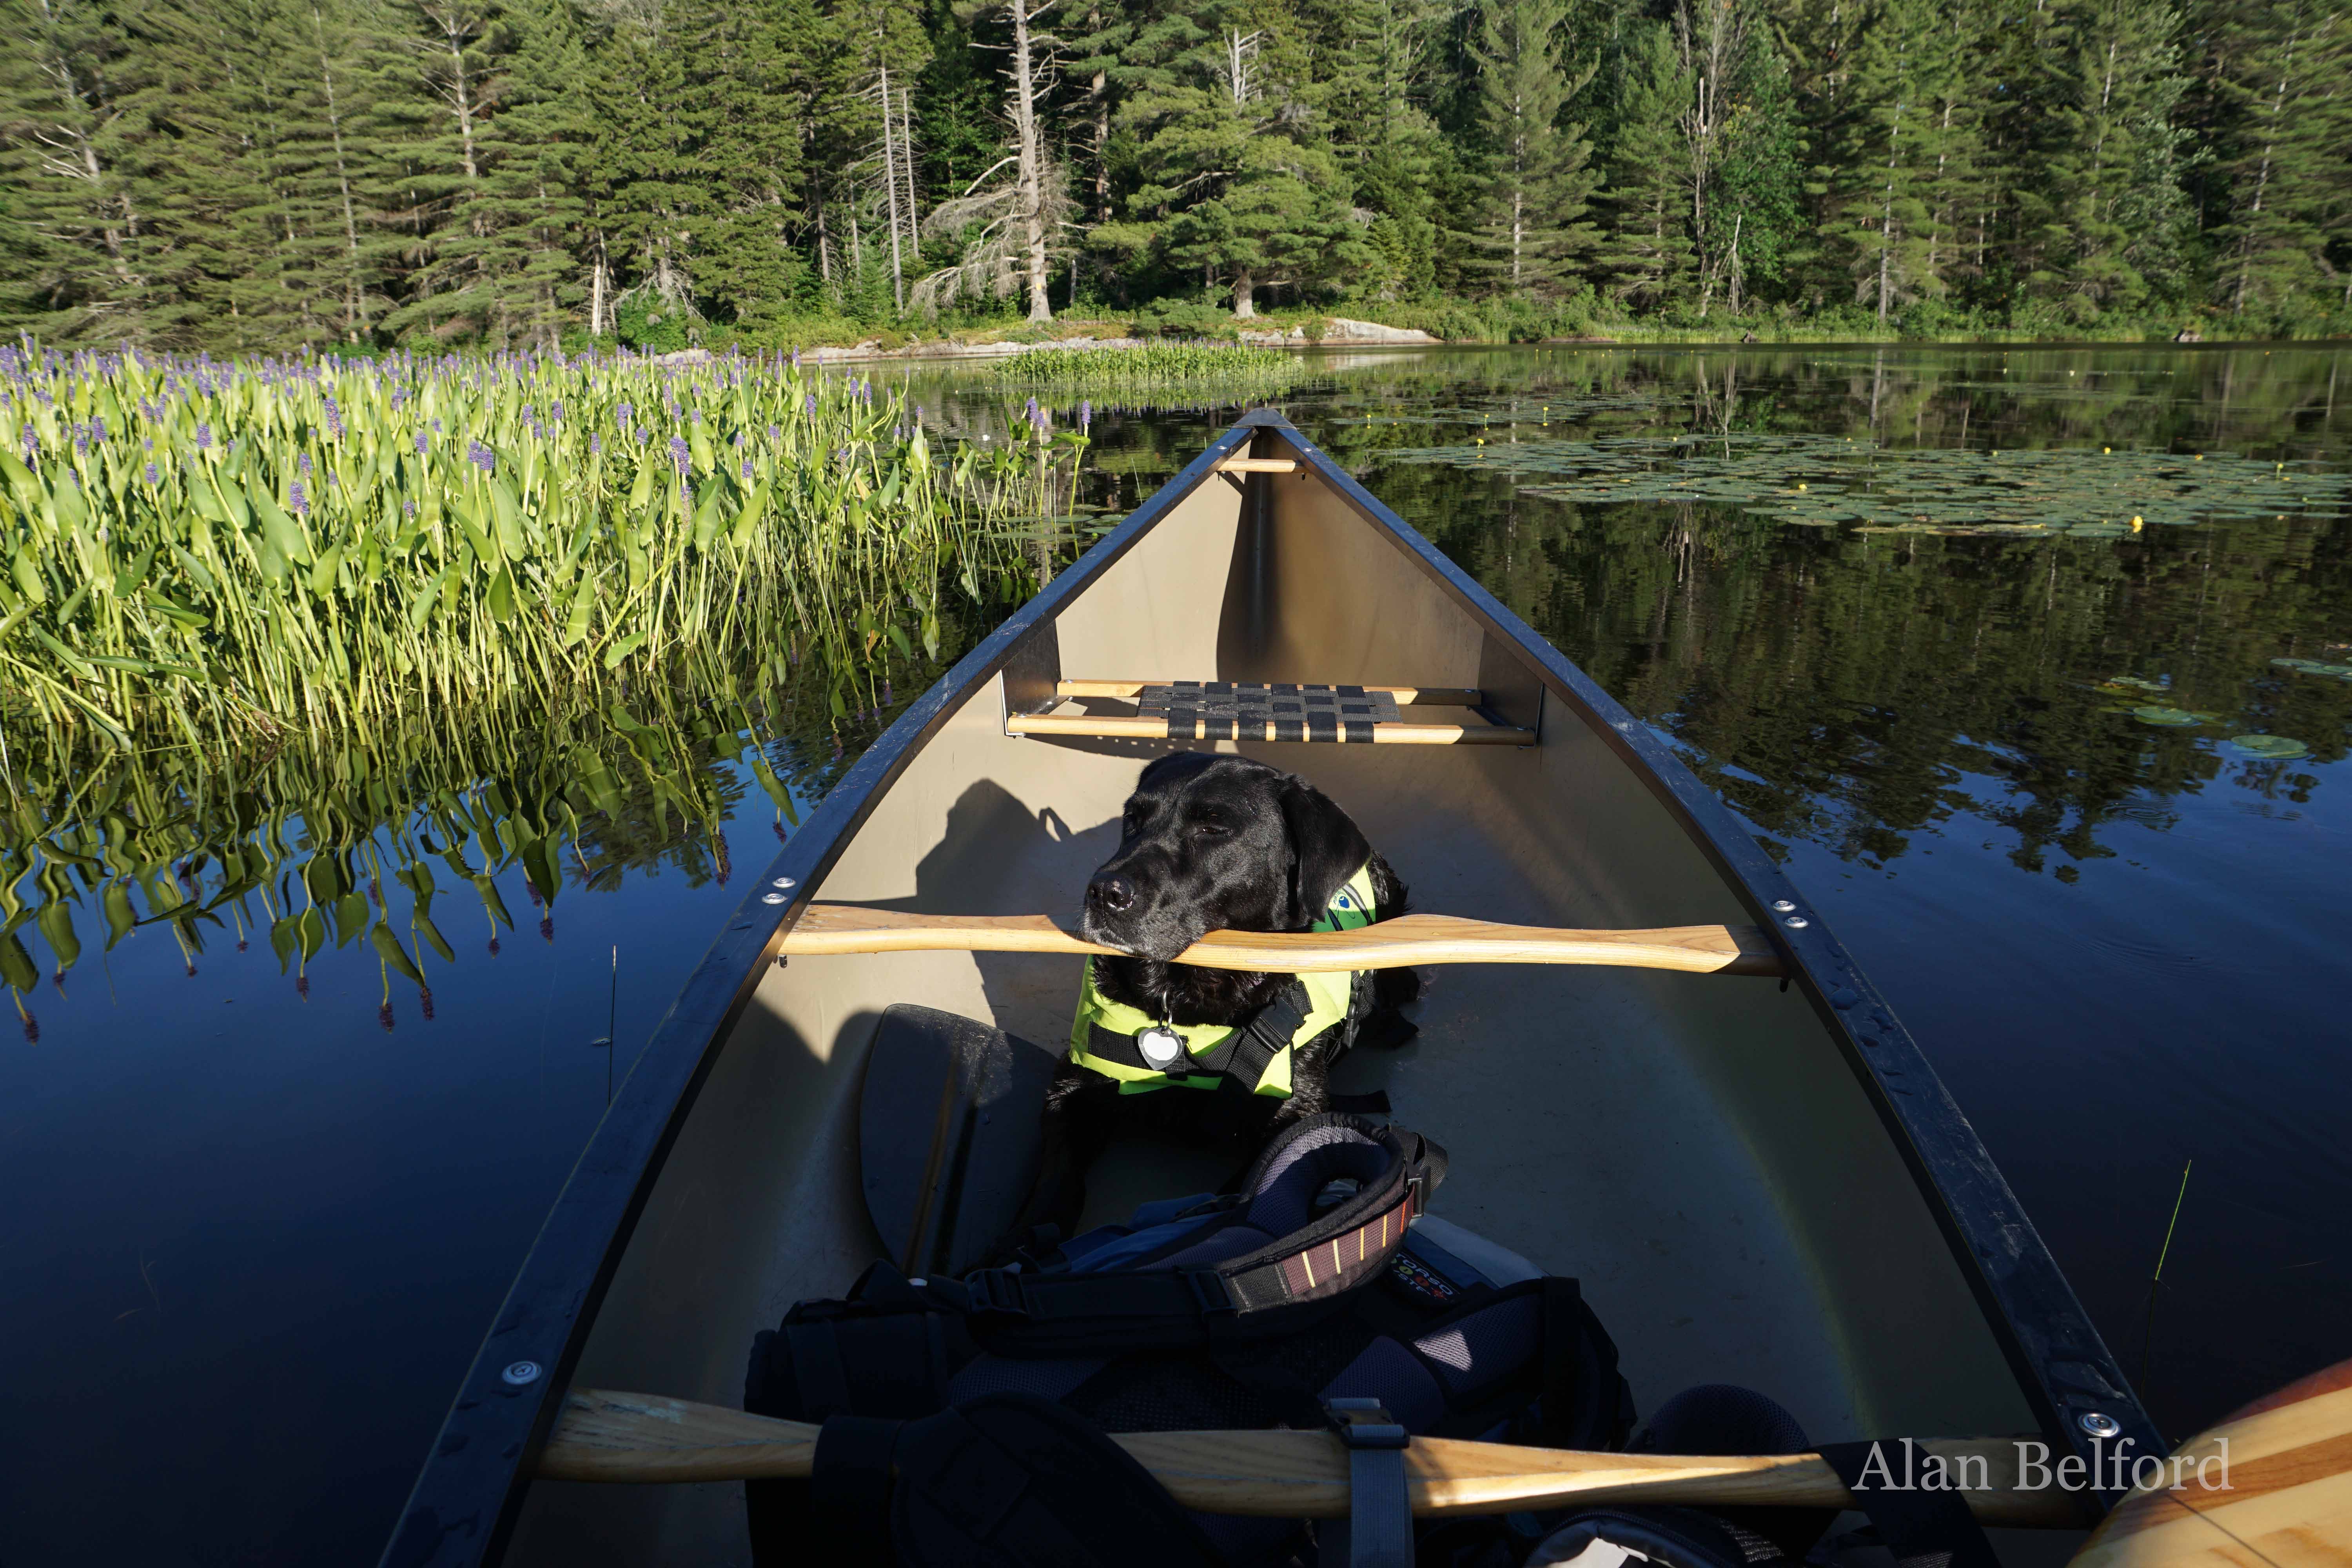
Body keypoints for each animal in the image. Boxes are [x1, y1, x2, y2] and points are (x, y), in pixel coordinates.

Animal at [1016, 757, 1411, 1241]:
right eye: (1133, 819)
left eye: (1213, 828)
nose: (1104, 892)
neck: (1182, 1001)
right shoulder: (1072, 1085)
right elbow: (1057, 1179)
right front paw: (1024, 1242)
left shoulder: (1300, 1110)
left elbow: (1261, 1178)